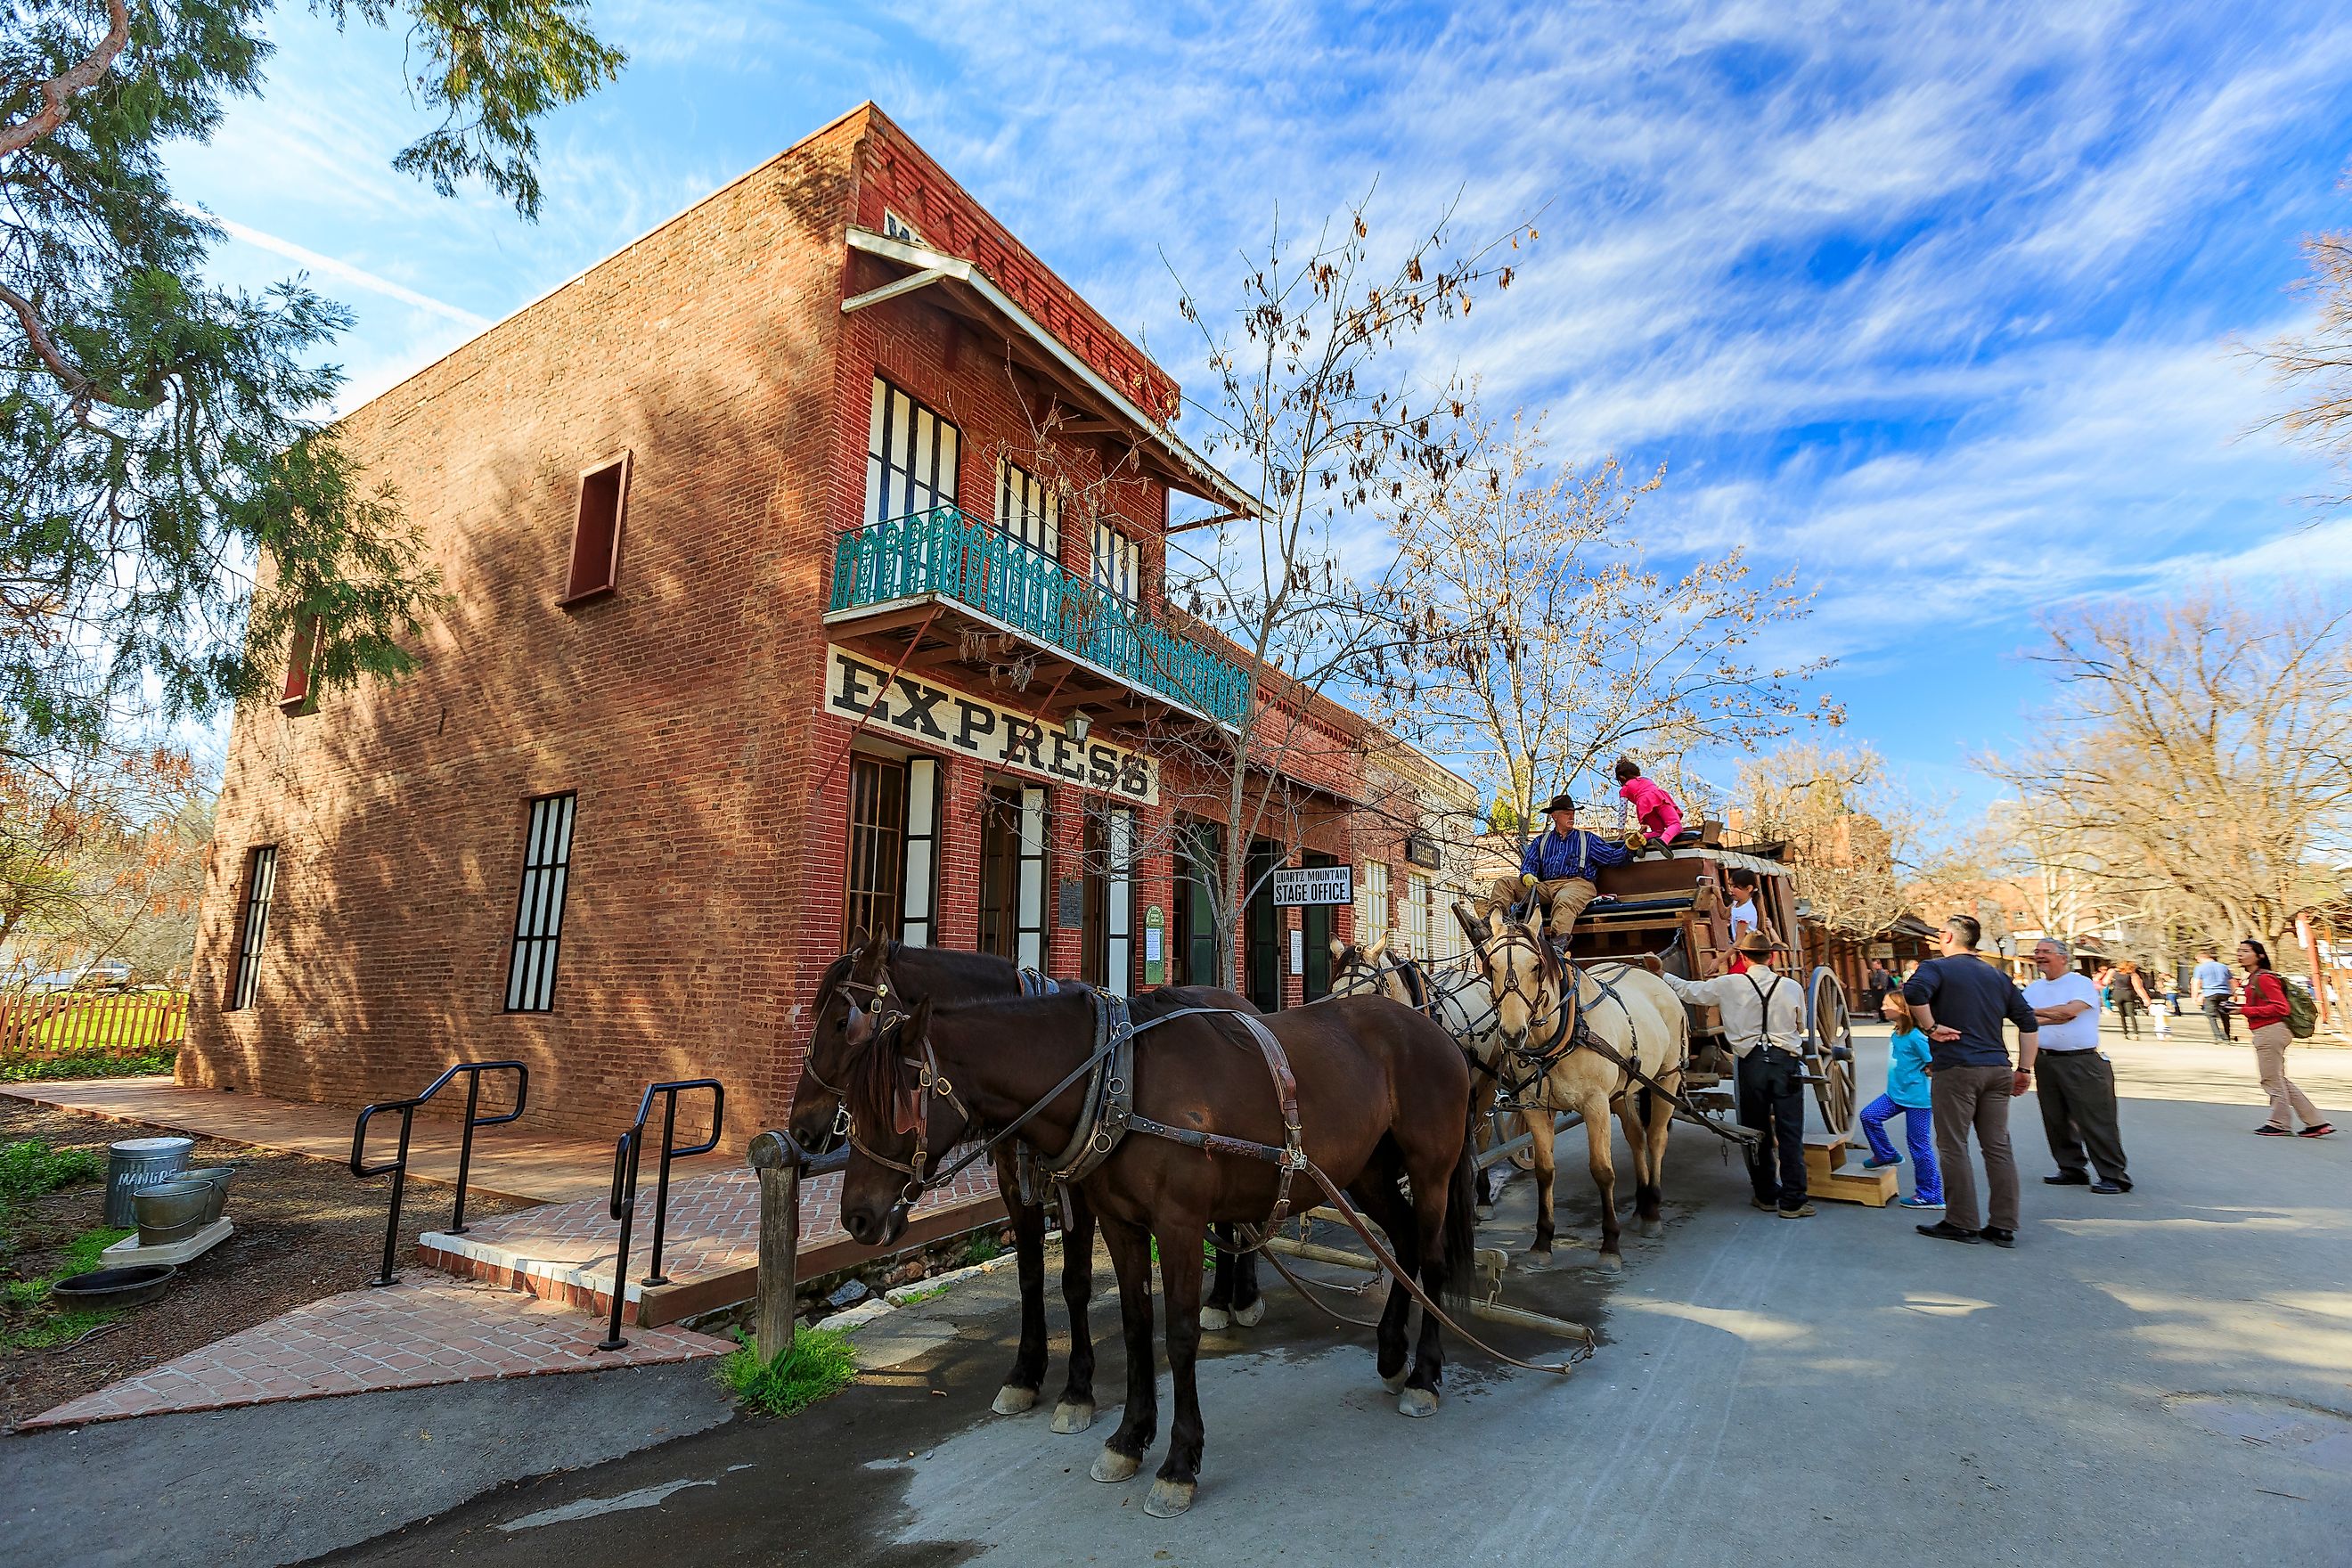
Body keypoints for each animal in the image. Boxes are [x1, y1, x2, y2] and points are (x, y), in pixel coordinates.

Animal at [780, 940, 1261, 1438]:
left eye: (844, 1023)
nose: (800, 1127)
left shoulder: (1080, 1193)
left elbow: (1075, 1283)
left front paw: (1077, 1389)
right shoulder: (1015, 1187)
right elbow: (1030, 1275)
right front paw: (1025, 1375)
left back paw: (1238, 1297)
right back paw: (1225, 1298)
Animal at [837, 992, 1476, 1523]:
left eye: (893, 1105)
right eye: (850, 1106)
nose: (855, 1218)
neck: (1117, 1082)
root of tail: (1436, 1029)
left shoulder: (1179, 1225)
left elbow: (1182, 1335)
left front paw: (1179, 1464)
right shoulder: (1120, 1223)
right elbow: (1136, 1324)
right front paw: (1128, 1438)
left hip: (1431, 1168)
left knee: (1432, 1258)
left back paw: (1424, 1376)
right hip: (1365, 1169)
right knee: (1404, 1243)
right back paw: (1391, 1353)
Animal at [1458, 921, 1684, 1260]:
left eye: (1536, 966)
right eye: (1490, 966)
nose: (1512, 1033)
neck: (1563, 1033)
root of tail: (1647, 970)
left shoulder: (1595, 1104)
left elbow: (1602, 1170)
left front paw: (1610, 1245)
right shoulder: (1535, 1108)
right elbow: (1545, 1170)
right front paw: (1542, 1241)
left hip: (1667, 1078)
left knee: (1656, 1137)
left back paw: (1653, 1211)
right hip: (1622, 1090)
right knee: (1636, 1136)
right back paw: (1641, 1205)